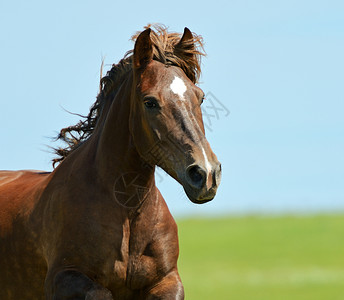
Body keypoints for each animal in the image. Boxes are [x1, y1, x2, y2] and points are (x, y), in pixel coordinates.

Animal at [0, 26, 220, 300]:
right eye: (150, 102)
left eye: (200, 98)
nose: (206, 174)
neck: (128, 211)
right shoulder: (63, 279)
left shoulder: (168, 281)